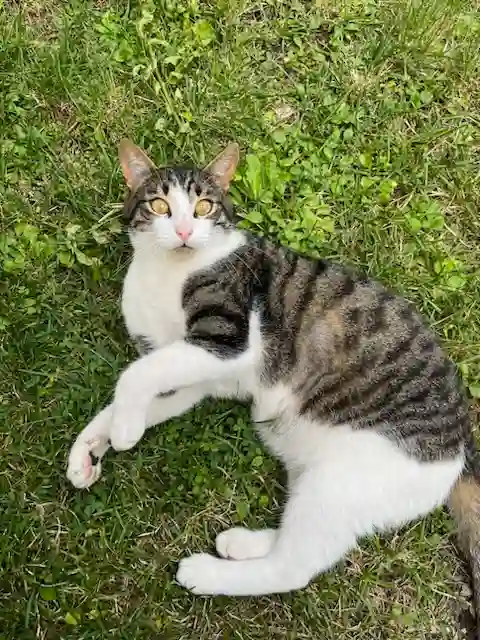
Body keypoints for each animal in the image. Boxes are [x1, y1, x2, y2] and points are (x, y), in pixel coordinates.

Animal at [66, 139, 480, 624]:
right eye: (160, 205)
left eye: (204, 206)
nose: (185, 230)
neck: (166, 272)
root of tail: (462, 448)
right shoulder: (189, 376)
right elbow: (132, 392)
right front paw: (91, 447)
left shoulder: (226, 339)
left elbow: (134, 375)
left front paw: (124, 432)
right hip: (315, 469)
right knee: (301, 539)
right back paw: (243, 542)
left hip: (345, 480)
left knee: (294, 568)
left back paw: (206, 573)